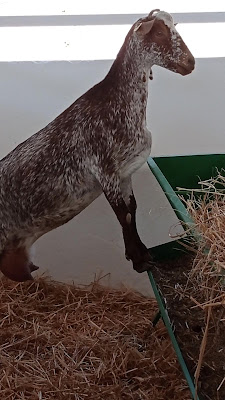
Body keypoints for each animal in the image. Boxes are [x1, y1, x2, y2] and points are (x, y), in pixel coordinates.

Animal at [0, 7, 194, 280]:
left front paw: (141, 253)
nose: (190, 63)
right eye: (158, 32)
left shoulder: (125, 173)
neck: (117, 105)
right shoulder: (105, 170)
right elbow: (123, 215)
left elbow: (132, 209)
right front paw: (139, 261)